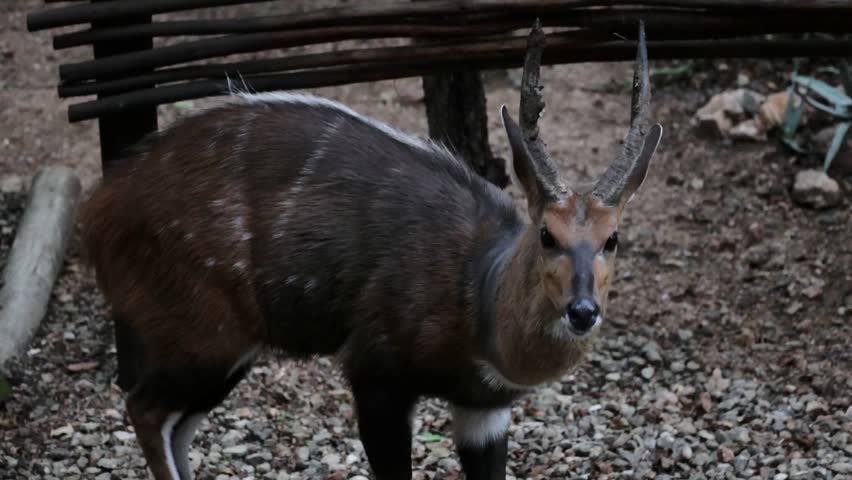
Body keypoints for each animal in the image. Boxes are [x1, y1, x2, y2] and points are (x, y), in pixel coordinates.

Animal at [80, 21, 662, 480]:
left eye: (612, 238)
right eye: (547, 235)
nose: (583, 311)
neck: (477, 294)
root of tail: (99, 213)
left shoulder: (485, 410)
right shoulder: (375, 374)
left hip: (228, 351)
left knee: (177, 425)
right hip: (203, 335)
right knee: (145, 408)